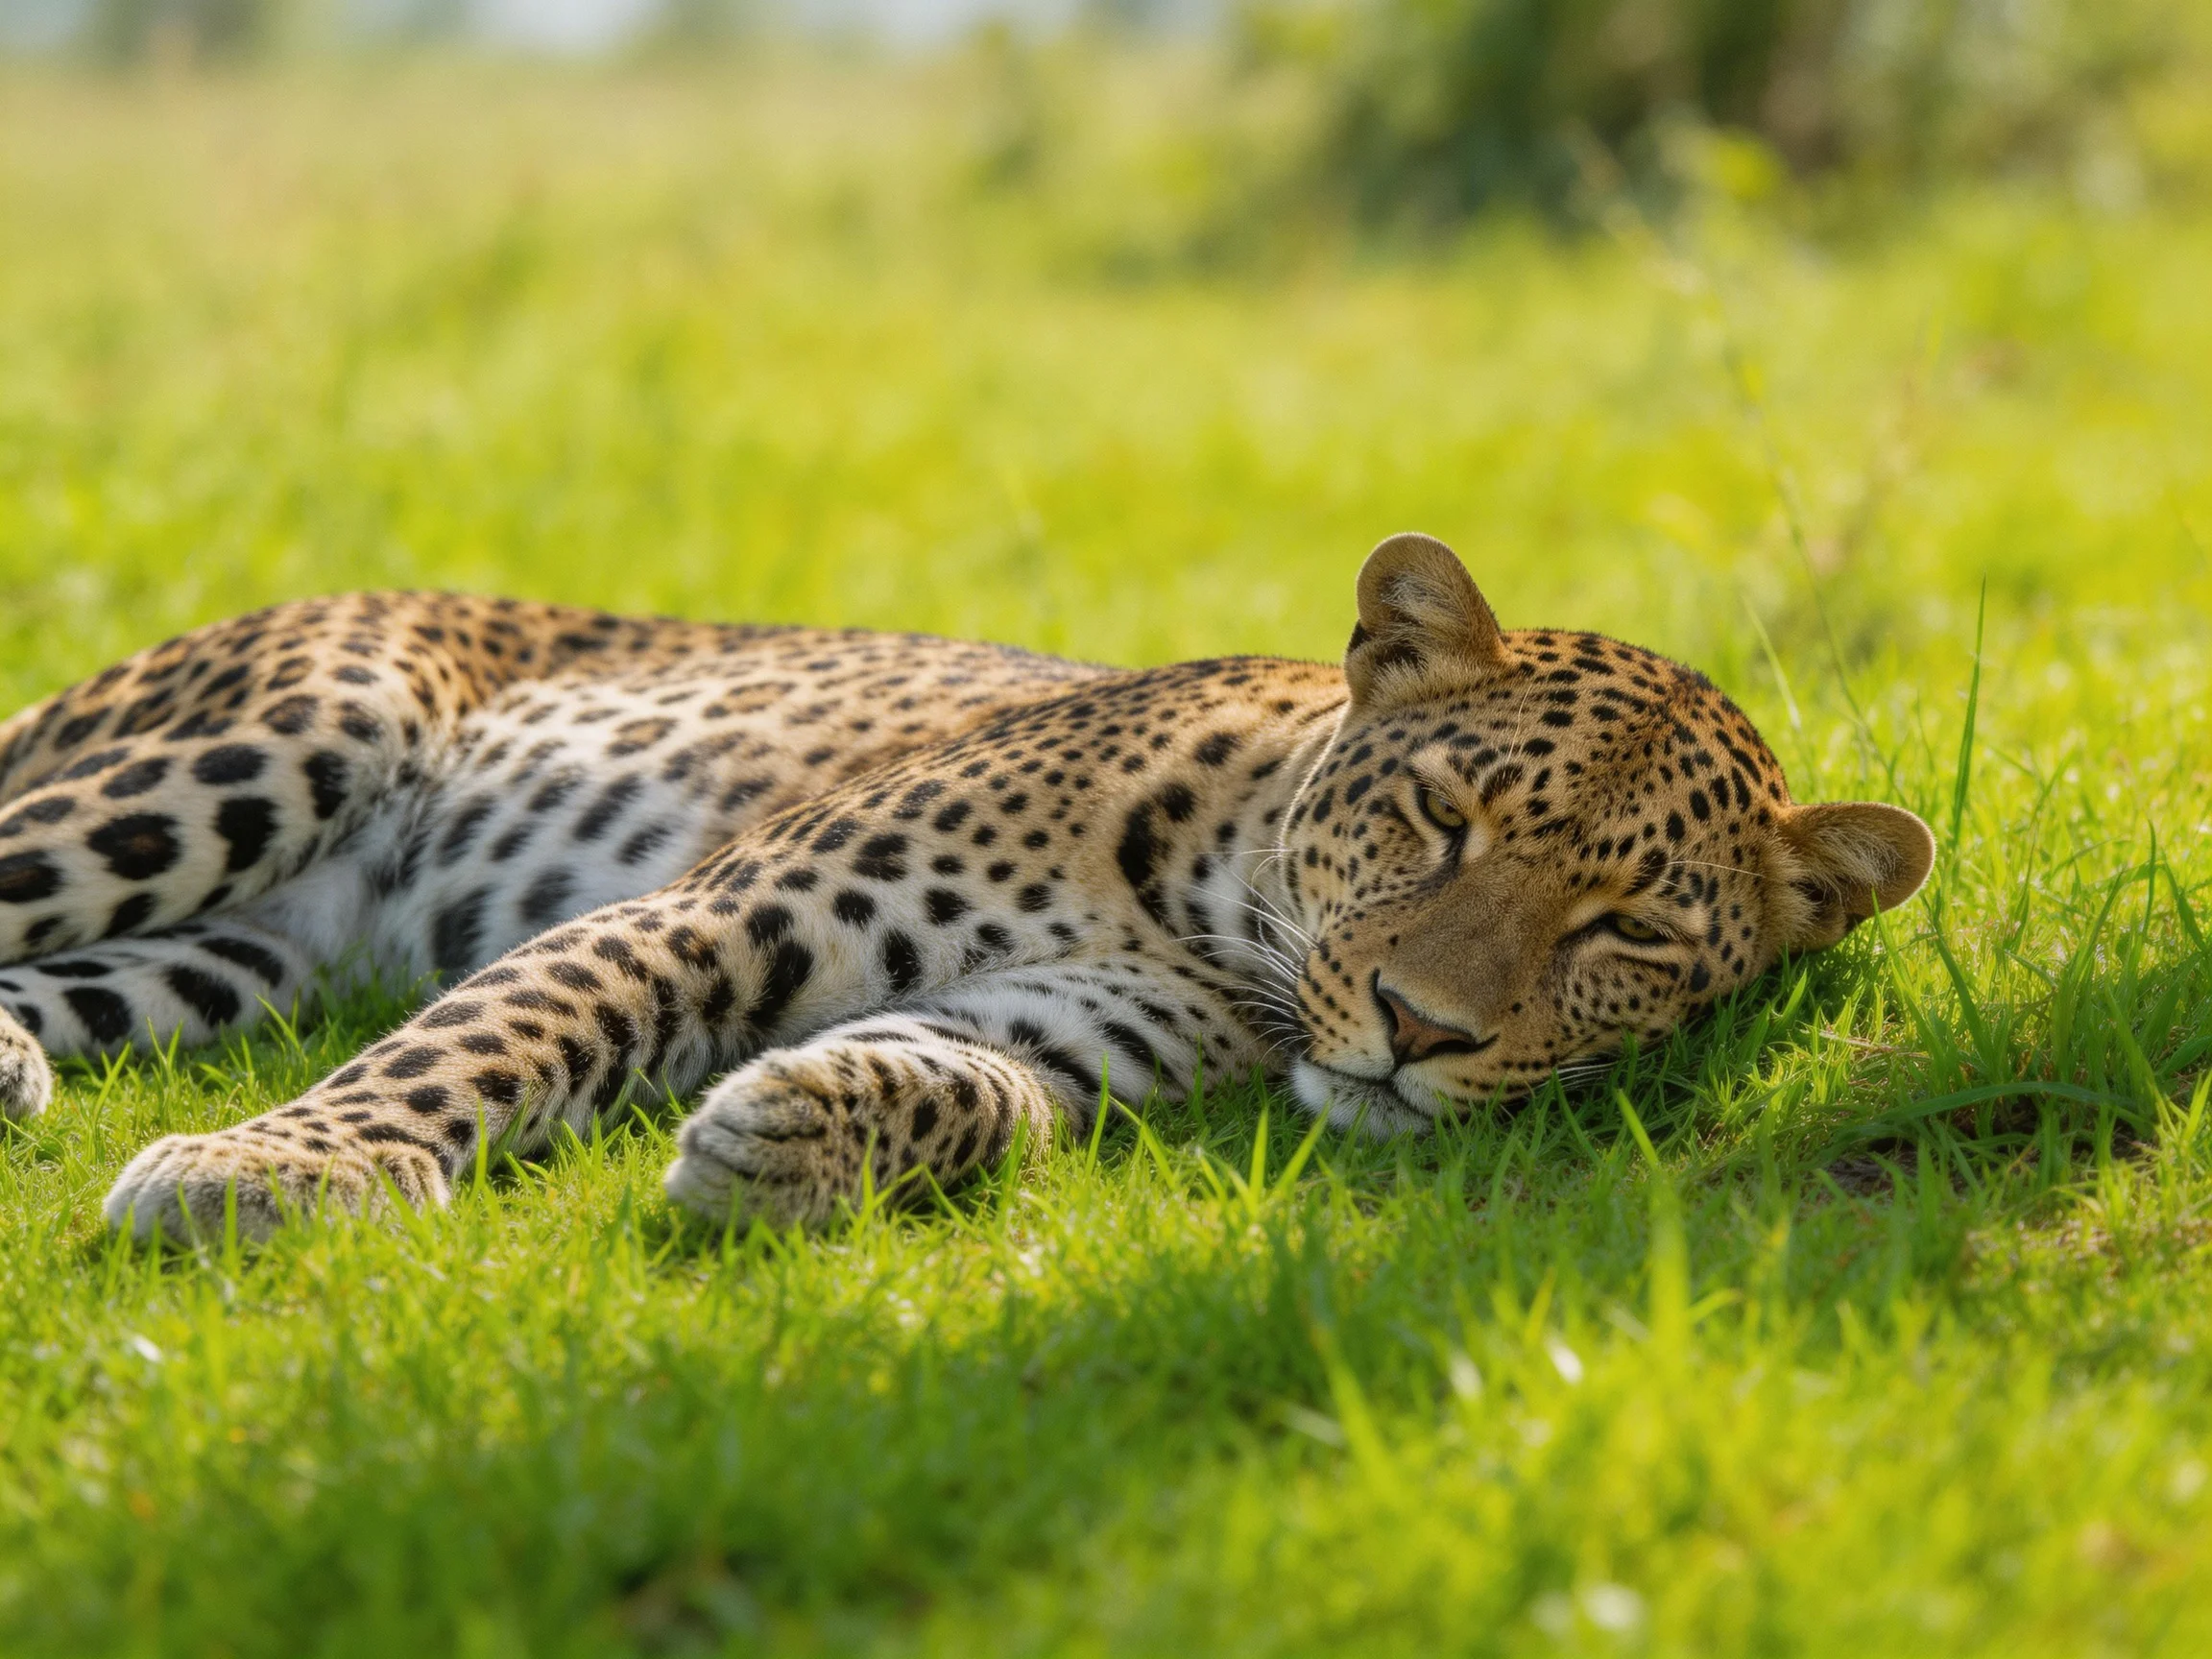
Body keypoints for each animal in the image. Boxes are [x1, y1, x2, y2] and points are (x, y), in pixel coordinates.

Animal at [0, 535, 1934, 1241]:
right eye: (1445, 816)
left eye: (1626, 932)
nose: (1416, 1029)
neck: (1208, 909)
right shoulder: (706, 910)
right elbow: (489, 1039)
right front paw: (272, 1172)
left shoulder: (1070, 1035)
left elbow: (973, 1092)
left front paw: (783, 1138)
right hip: (266, 742)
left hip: (243, 956)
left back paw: (13, 1067)